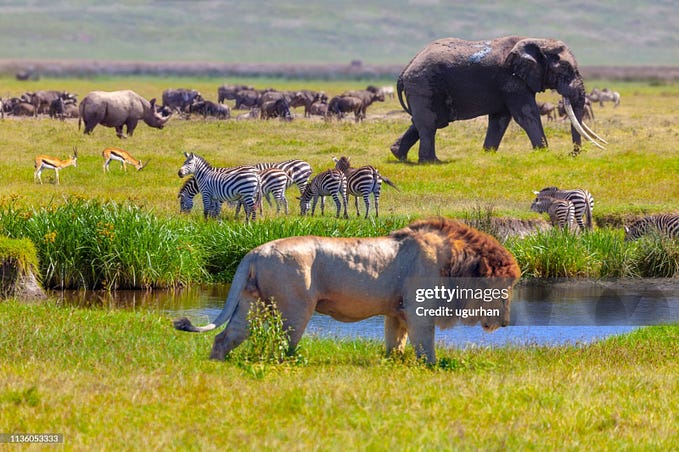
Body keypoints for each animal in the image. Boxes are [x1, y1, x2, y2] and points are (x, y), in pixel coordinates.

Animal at [173, 217, 521, 364]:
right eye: (505, 289)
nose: (506, 323)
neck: (457, 264)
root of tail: (254, 252)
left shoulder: (397, 313)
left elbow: (395, 344)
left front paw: (393, 364)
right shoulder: (420, 309)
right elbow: (426, 347)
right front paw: (432, 369)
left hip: (251, 303)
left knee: (225, 337)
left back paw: (217, 364)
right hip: (294, 308)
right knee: (282, 346)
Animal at [391, 36, 607, 163]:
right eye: (565, 70)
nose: (572, 154)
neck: (535, 42)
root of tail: (404, 71)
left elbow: (500, 119)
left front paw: (487, 155)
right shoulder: (511, 79)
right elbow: (526, 115)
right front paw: (543, 153)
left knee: (426, 122)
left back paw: (398, 155)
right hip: (423, 84)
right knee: (429, 123)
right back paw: (431, 162)